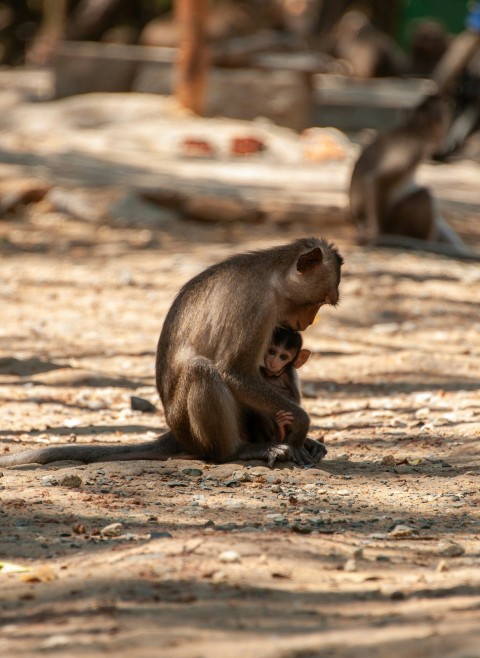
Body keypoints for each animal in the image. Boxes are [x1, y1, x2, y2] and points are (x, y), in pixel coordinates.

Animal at [0, 238, 344, 468]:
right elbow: (234, 372)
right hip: (189, 428)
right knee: (201, 370)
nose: (309, 321)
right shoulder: (256, 307)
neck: (274, 275)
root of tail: (174, 432)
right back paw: (236, 452)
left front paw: (302, 436)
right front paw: (300, 427)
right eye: (316, 302)